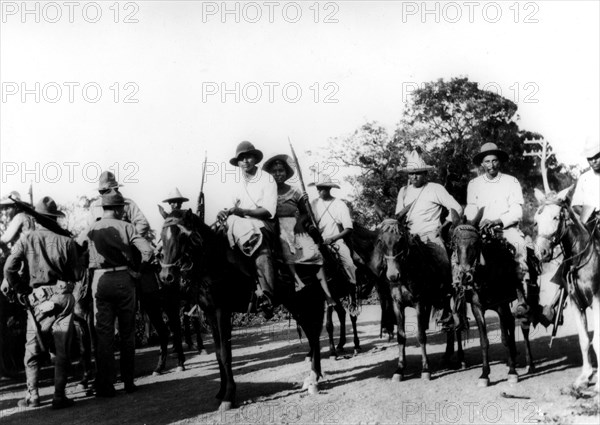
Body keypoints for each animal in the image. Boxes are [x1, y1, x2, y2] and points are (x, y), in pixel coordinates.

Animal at [158, 210, 324, 410]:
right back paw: (313, 377)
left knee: (313, 334)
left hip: (305, 299)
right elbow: (218, 353)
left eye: (182, 236)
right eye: (162, 236)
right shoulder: (210, 313)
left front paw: (229, 396)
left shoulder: (222, 311)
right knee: (311, 333)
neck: (215, 263)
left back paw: (314, 378)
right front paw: (221, 391)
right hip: (295, 304)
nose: (166, 276)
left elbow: (225, 354)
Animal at [450, 207, 540, 386]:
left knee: (524, 325)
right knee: (512, 324)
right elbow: (484, 341)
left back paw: (530, 364)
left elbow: (506, 339)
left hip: (525, 300)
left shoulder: (501, 306)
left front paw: (512, 372)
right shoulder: (477, 308)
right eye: (455, 244)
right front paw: (485, 375)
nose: (465, 277)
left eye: (476, 244)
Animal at [536, 187, 600, 392]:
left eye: (556, 217)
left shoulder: (597, 300)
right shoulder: (575, 302)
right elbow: (584, 340)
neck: (582, 258)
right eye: (536, 220)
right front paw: (585, 377)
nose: (541, 252)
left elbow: (597, 340)